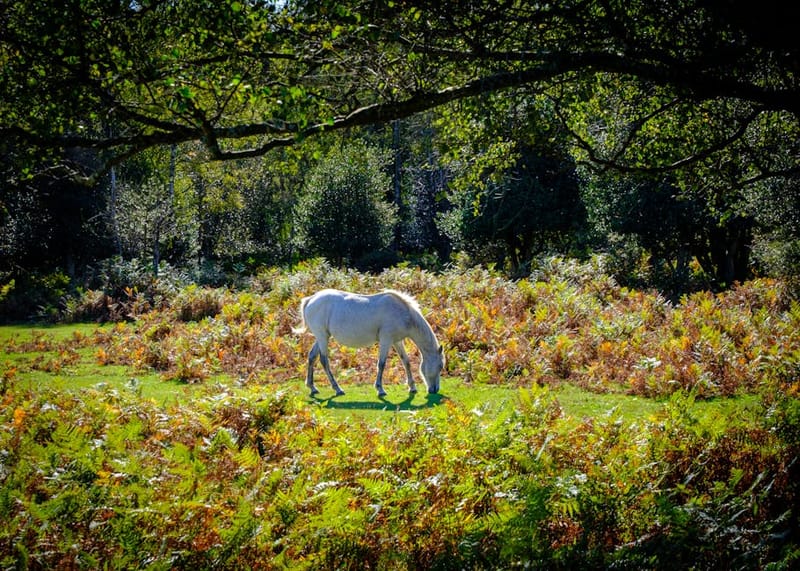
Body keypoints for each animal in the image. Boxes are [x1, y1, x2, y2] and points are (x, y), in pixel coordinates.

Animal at [294, 288, 445, 397]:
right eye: (440, 366)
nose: (435, 389)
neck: (403, 313)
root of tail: (310, 299)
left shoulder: (397, 341)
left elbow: (406, 361)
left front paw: (412, 387)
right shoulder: (386, 340)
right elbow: (381, 364)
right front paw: (380, 390)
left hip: (322, 337)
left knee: (312, 357)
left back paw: (312, 387)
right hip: (322, 337)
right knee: (324, 360)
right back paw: (337, 389)